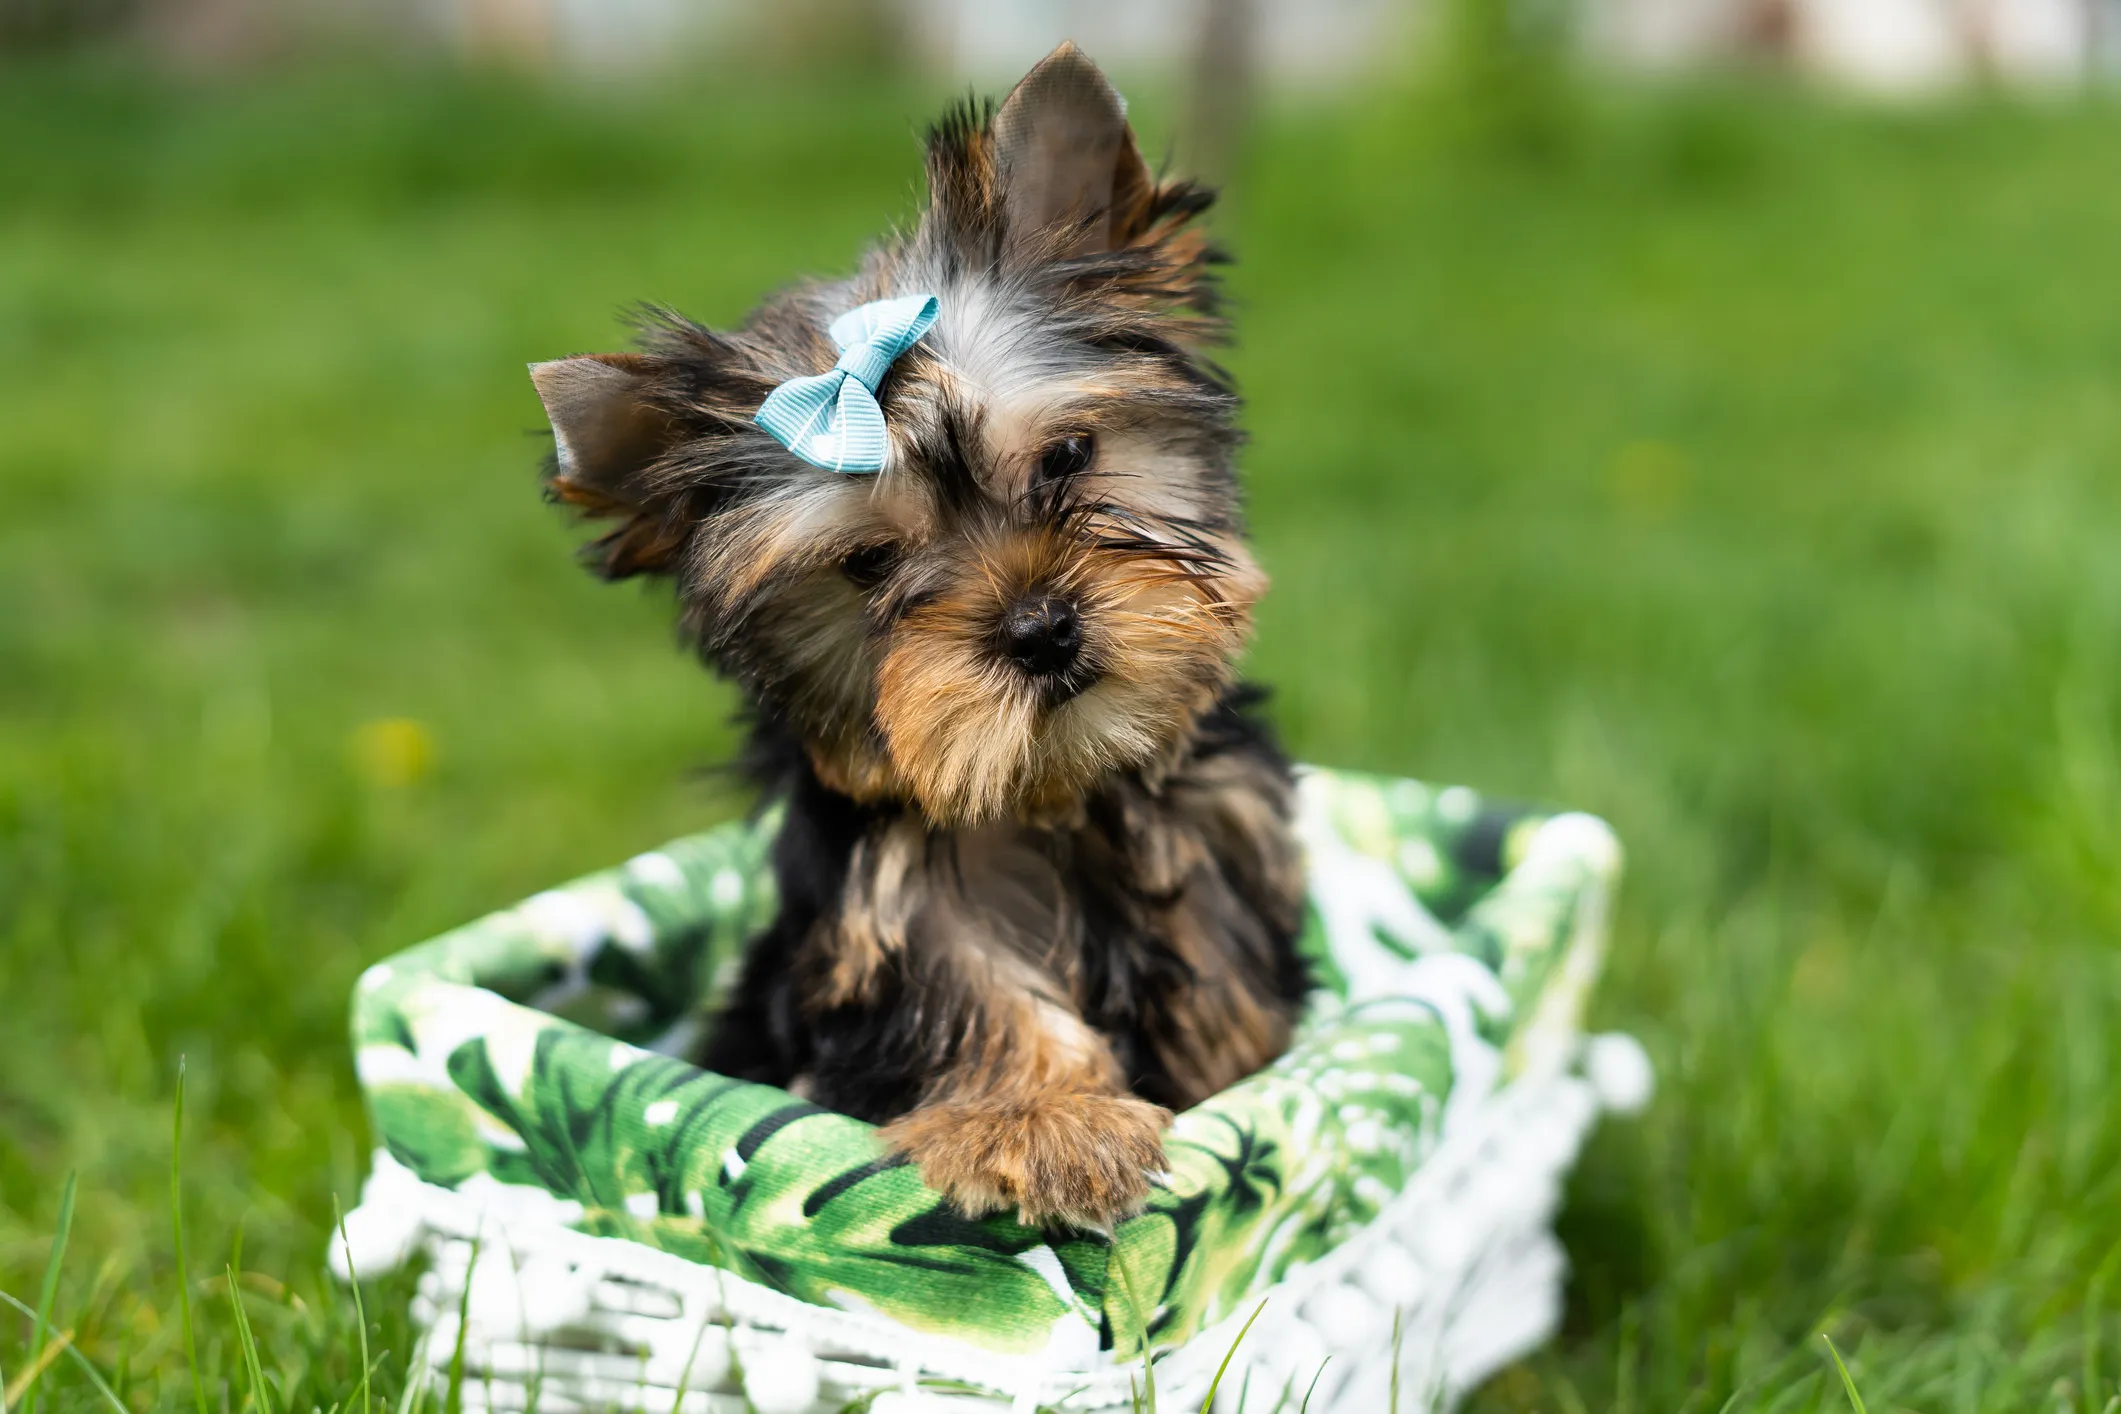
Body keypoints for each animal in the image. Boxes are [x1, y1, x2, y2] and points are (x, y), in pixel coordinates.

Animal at [530, 38, 1306, 1221]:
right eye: (869, 564)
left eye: (1067, 457)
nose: (1041, 628)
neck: (1051, 791)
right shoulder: (884, 902)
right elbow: (966, 985)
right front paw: (1044, 1121)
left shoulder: (1216, 825)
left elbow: (1218, 964)